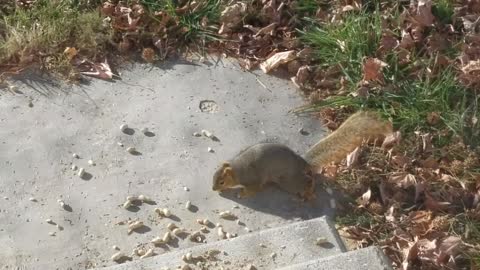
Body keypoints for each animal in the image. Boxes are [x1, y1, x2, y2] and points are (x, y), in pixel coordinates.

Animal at [212, 109, 392, 200]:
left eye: (221, 182)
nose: (214, 189)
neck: (237, 169)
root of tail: (302, 162)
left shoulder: (253, 179)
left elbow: (254, 189)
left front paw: (242, 193)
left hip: (288, 181)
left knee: (306, 182)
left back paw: (309, 193)